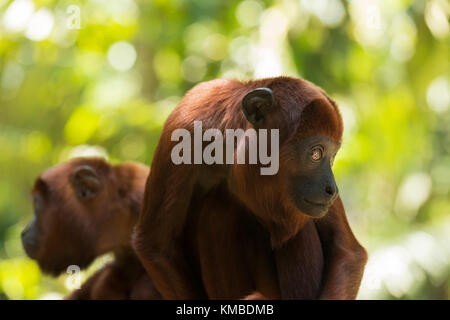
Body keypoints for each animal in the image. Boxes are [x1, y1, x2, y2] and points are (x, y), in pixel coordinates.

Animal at [133, 77, 366, 300]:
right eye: (316, 153)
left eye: (332, 156)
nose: (332, 190)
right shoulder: (182, 128)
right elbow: (156, 246)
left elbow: (347, 250)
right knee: (218, 211)